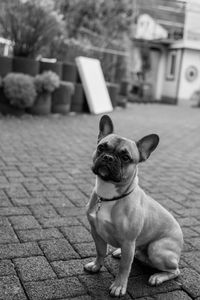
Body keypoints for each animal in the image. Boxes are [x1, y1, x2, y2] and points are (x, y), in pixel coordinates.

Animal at [84, 115, 183, 298]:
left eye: (125, 158)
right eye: (101, 147)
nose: (108, 157)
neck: (109, 196)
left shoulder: (129, 241)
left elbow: (124, 268)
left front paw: (118, 286)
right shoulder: (96, 232)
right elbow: (100, 251)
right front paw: (96, 265)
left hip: (156, 249)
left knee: (175, 270)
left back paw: (158, 277)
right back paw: (118, 252)